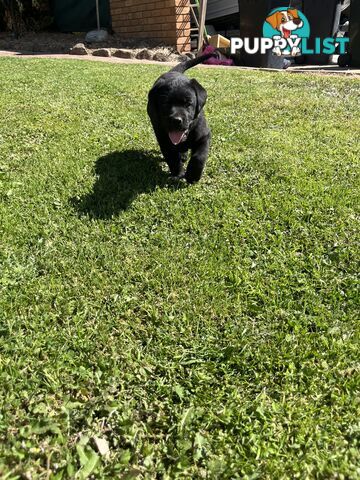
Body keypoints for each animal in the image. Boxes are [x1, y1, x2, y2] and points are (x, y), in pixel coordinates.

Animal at [148, 53, 215, 183]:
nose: (176, 120)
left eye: (188, 103)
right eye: (165, 104)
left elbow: (199, 156)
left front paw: (193, 175)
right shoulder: (164, 140)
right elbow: (172, 158)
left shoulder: (204, 136)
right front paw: (178, 174)